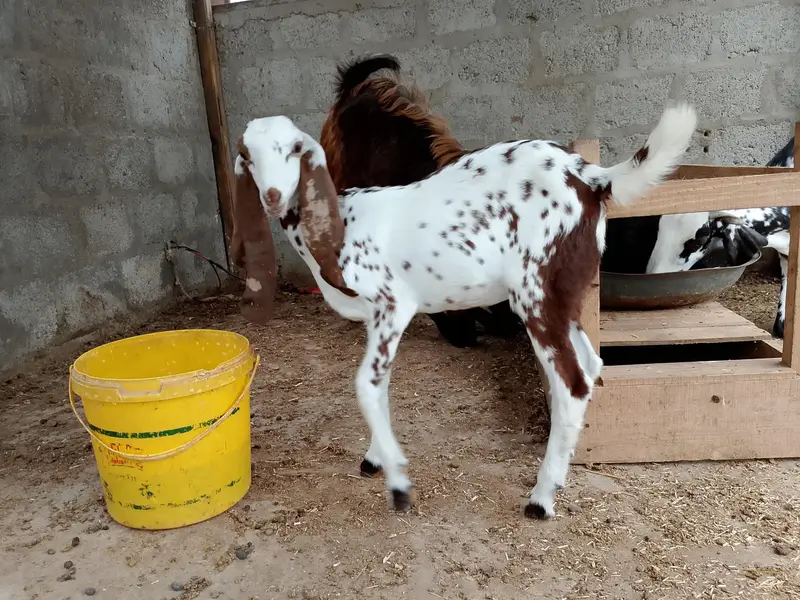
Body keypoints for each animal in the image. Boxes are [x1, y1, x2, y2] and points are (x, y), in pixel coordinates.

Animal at [233, 102, 697, 519]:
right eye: (247, 155)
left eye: (295, 148)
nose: (272, 197)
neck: (343, 222)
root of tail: (592, 177)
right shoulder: (374, 319)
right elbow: (380, 386)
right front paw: (376, 458)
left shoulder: (393, 304)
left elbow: (365, 385)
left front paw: (399, 486)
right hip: (562, 293)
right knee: (591, 363)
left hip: (535, 291)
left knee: (572, 383)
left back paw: (541, 498)